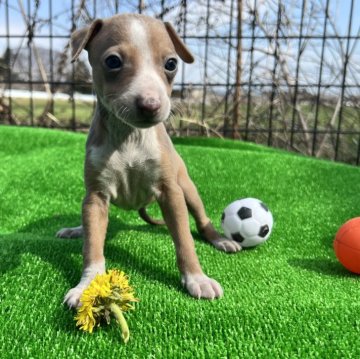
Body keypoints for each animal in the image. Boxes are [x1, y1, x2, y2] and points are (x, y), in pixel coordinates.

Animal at [57, 12, 242, 308]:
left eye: (171, 64)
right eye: (113, 61)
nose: (151, 105)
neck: (130, 138)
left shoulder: (171, 193)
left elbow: (184, 239)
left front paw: (197, 278)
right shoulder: (96, 197)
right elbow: (92, 247)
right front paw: (87, 286)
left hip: (187, 187)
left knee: (201, 220)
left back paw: (221, 240)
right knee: (90, 228)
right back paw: (77, 229)